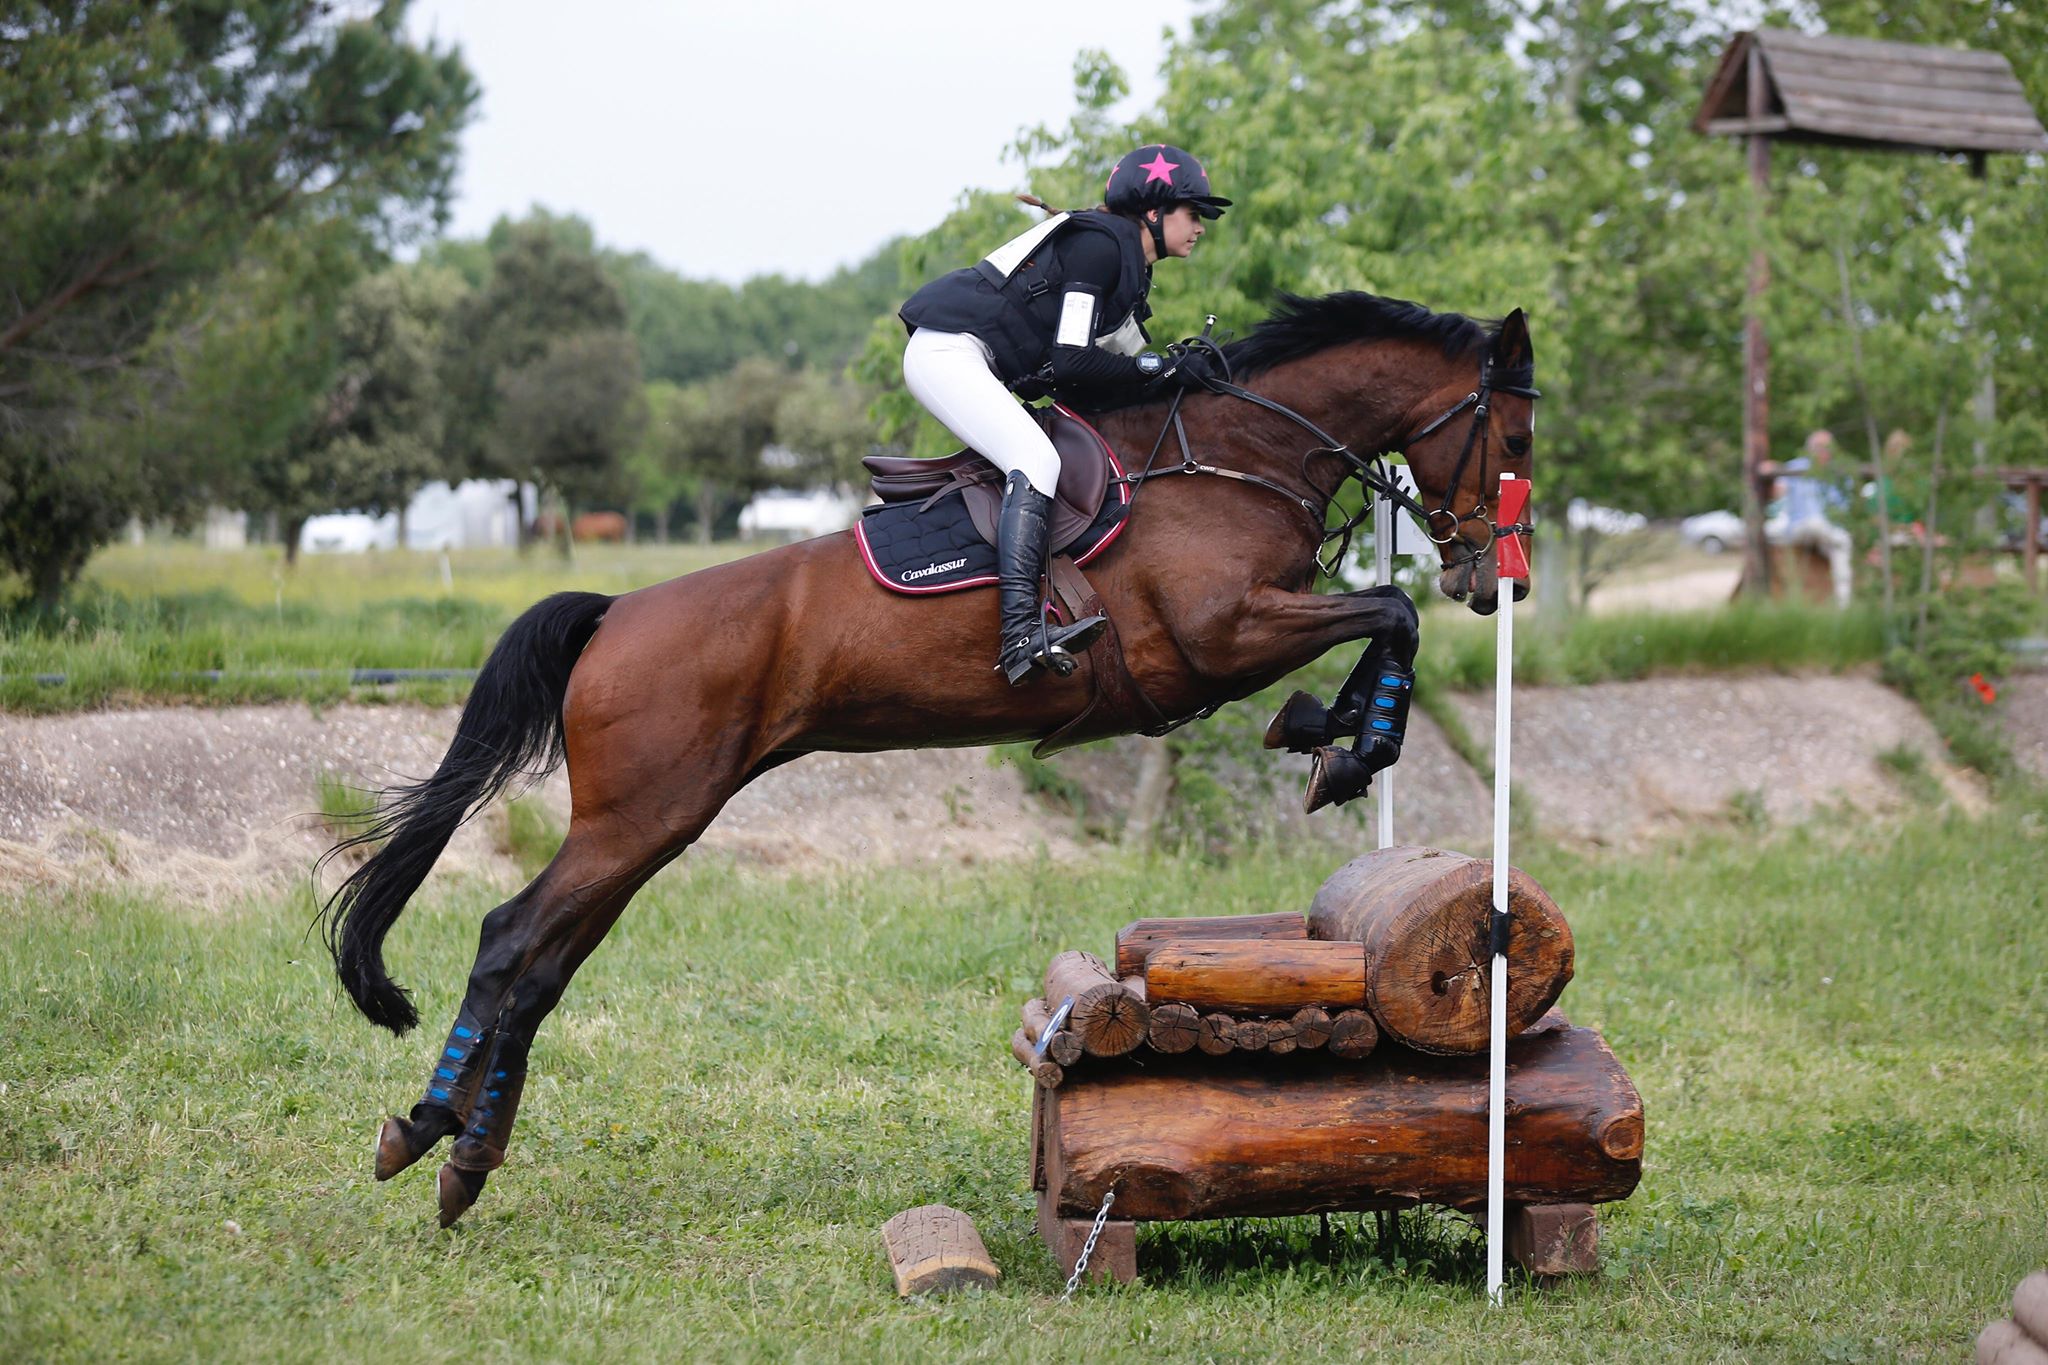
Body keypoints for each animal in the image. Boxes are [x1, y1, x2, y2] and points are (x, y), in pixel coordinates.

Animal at [319, 290, 1540, 1227]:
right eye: (1518, 442)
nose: (1492, 583)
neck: (1234, 460)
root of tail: (616, 612)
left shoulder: (1242, 634)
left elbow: (1383, 617)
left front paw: (1329, 737)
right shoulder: (1219, 636)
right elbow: (1387, 610)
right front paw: (1346, 745)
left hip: (648, 827)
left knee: (543, 968)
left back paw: (464, 1160)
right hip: (640, 817)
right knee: (507, 939)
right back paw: (428, 1130)